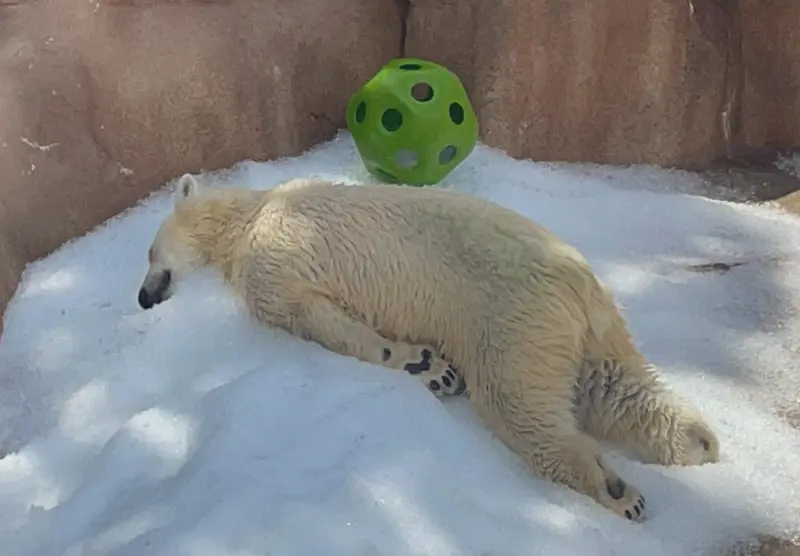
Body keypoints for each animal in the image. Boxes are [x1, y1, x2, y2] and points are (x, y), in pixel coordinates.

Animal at [136, 174, 720, 520]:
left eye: (148, 253)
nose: (142, 298)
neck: (251, 213)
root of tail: (576, 281)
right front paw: (430, 366)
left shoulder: (274, 256)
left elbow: (315, 318)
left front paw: (425, 364)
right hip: (586, 328)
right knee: (614, 386)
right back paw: (699, 442)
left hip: (511, 319)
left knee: (519, 406)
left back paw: (615, 490)